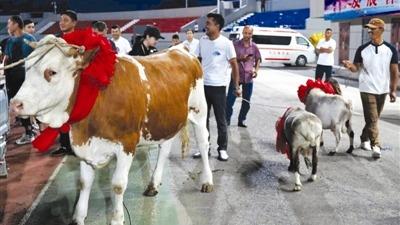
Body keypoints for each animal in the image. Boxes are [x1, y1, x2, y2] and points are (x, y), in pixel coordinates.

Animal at [9, 35, 212, 225]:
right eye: (26, 68)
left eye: (52, 72)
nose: (15, 104)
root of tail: (180, 49)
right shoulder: (86, 145)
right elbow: (84, 183)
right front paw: (78, 217)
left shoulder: (127, 144)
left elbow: (118, 185)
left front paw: (117, 218)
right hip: (166, 119)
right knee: (165, 148)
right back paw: (153, 184)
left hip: (200, 111)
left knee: (203, 144)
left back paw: (207, 181)